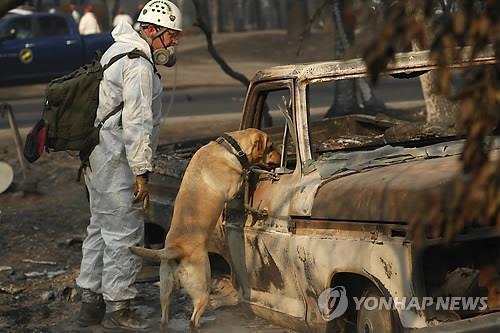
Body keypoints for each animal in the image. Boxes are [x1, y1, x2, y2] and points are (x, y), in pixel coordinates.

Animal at [130, 127, 282, 330]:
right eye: (271, 146)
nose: (279, 160)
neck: (230, 148)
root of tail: (176, 249)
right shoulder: (234, 188)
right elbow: (245, 181)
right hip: (202, 288)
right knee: (193, 319)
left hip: (165, 290)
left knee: (164, 318)